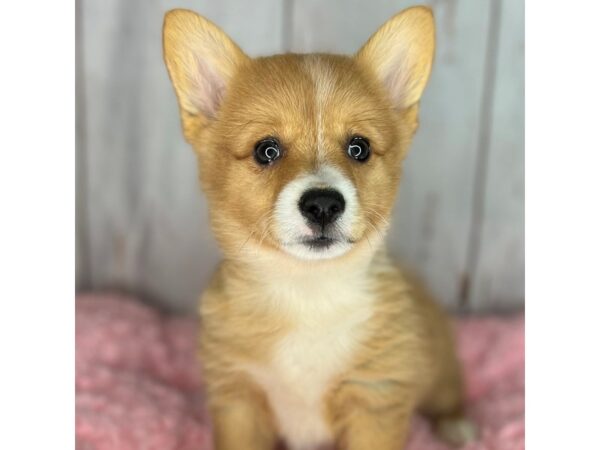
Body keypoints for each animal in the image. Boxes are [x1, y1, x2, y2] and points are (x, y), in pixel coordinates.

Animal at [162, 7, 476, 450]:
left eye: (359, 148)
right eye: (266, 150)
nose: (323, 204)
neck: (306, 292)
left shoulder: (374, 400)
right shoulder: (239, 398)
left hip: (439, 366)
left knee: (449, 392)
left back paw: (456, 426)